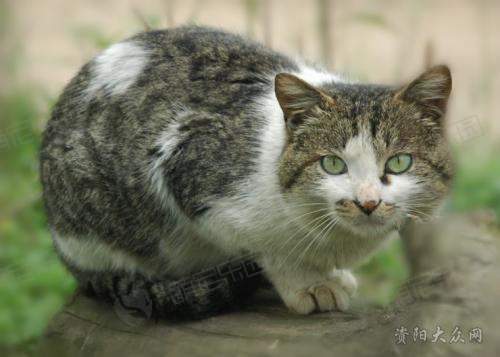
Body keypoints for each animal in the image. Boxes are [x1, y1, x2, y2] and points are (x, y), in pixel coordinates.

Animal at [39, 26, 454, 318]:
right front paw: (308, 284)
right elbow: (270, 251)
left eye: (399, 162)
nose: (367, 202)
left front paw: (328, 276)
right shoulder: (183, 163)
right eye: (333, 164)